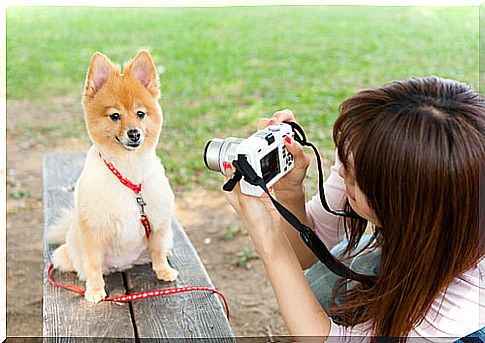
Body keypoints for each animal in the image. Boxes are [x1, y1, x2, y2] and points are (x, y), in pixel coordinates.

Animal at [49, 50, 178, 304]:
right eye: (115, 116)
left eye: (140, 114)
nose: (134, 133)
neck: (128, 170)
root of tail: (124, 264)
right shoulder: (93, 228)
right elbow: (93, 264)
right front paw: (95, 290)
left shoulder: (158, 220)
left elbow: (157, 250)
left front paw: (163, 270)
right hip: (70, 249)